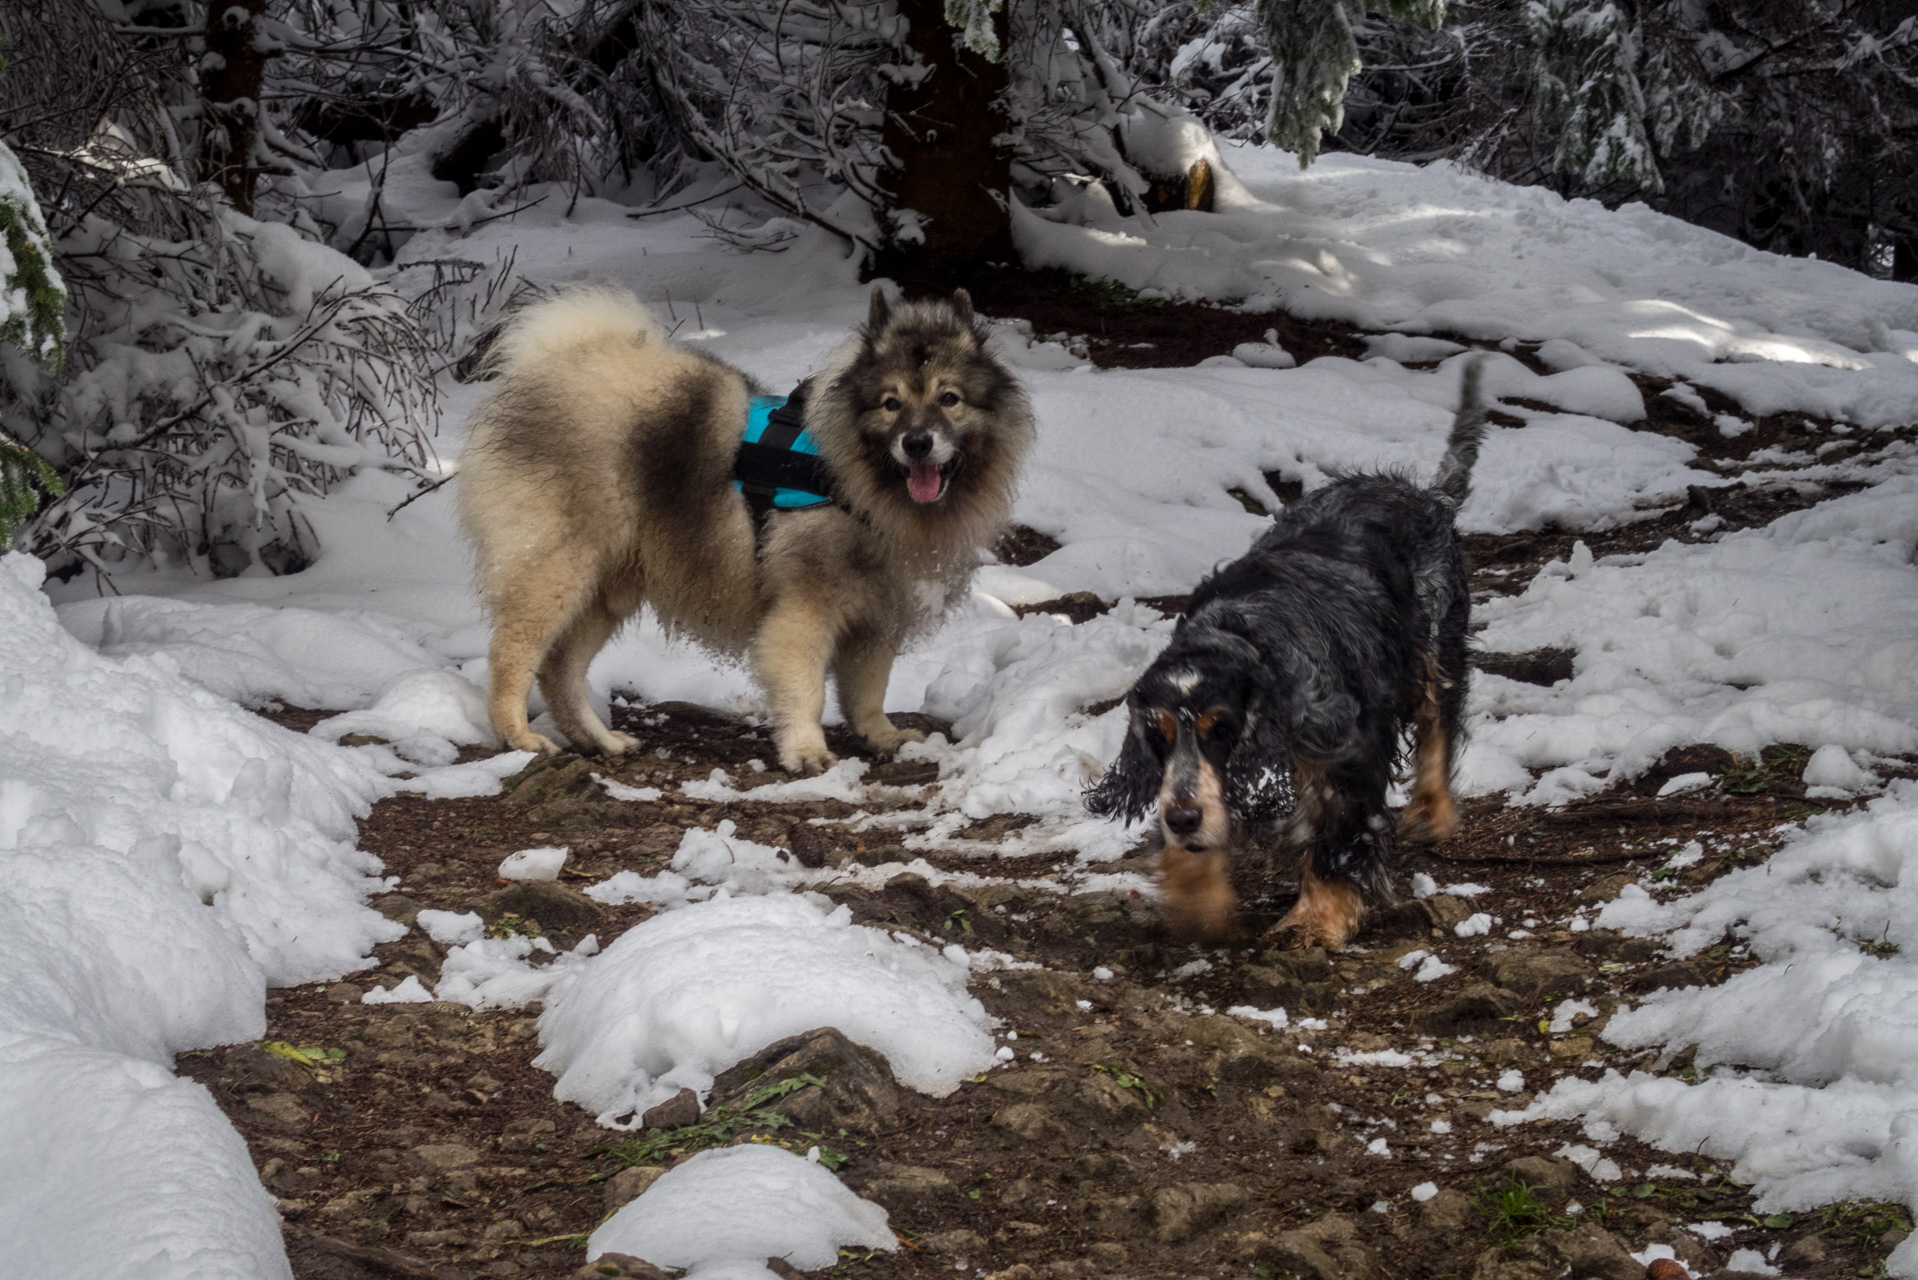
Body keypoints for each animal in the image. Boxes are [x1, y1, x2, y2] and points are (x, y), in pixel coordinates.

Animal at [1097, 360, 1480, 951]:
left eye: (1222, 729)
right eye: (1157, 734)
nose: (1182, 819)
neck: (1244, 634)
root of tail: (1426, 497)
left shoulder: (1346, 749)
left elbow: (1337, 839)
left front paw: (1316, 922)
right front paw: (1197, 902)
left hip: (1435, 645)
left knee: (1439, 720)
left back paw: (1432, 812)